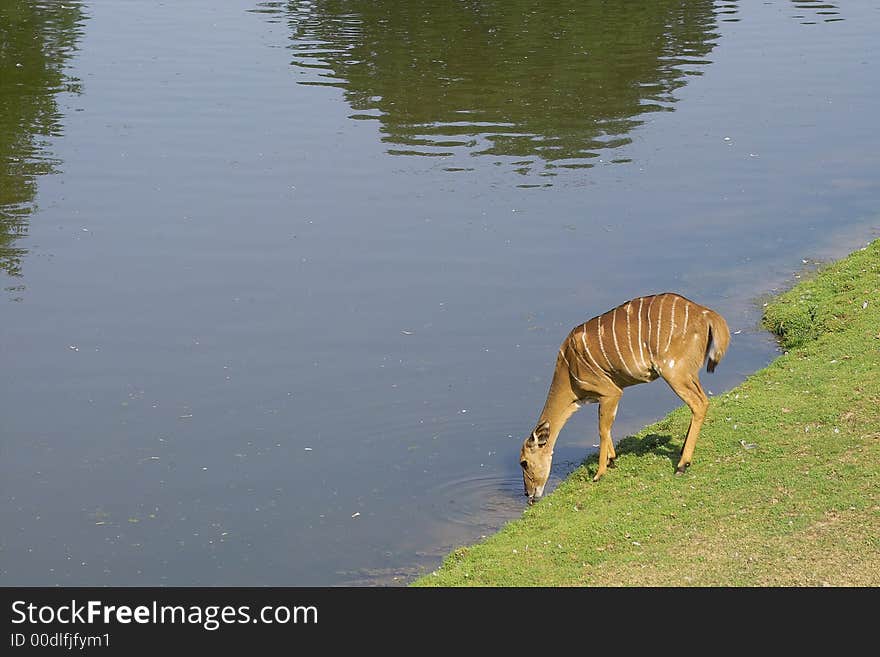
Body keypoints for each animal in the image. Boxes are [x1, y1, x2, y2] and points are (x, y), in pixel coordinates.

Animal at [520, 293, 730, 503]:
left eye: (524, 463)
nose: (529, 495)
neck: (569, 367)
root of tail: (705, 313)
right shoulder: (605, 395)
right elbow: (607, 426)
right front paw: (612, 460)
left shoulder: (611, 392)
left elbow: (603, 429)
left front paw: (599, 473)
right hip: (689, 373)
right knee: (703, 400)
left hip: (674, 372)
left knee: (699, 403)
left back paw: (682, 465)